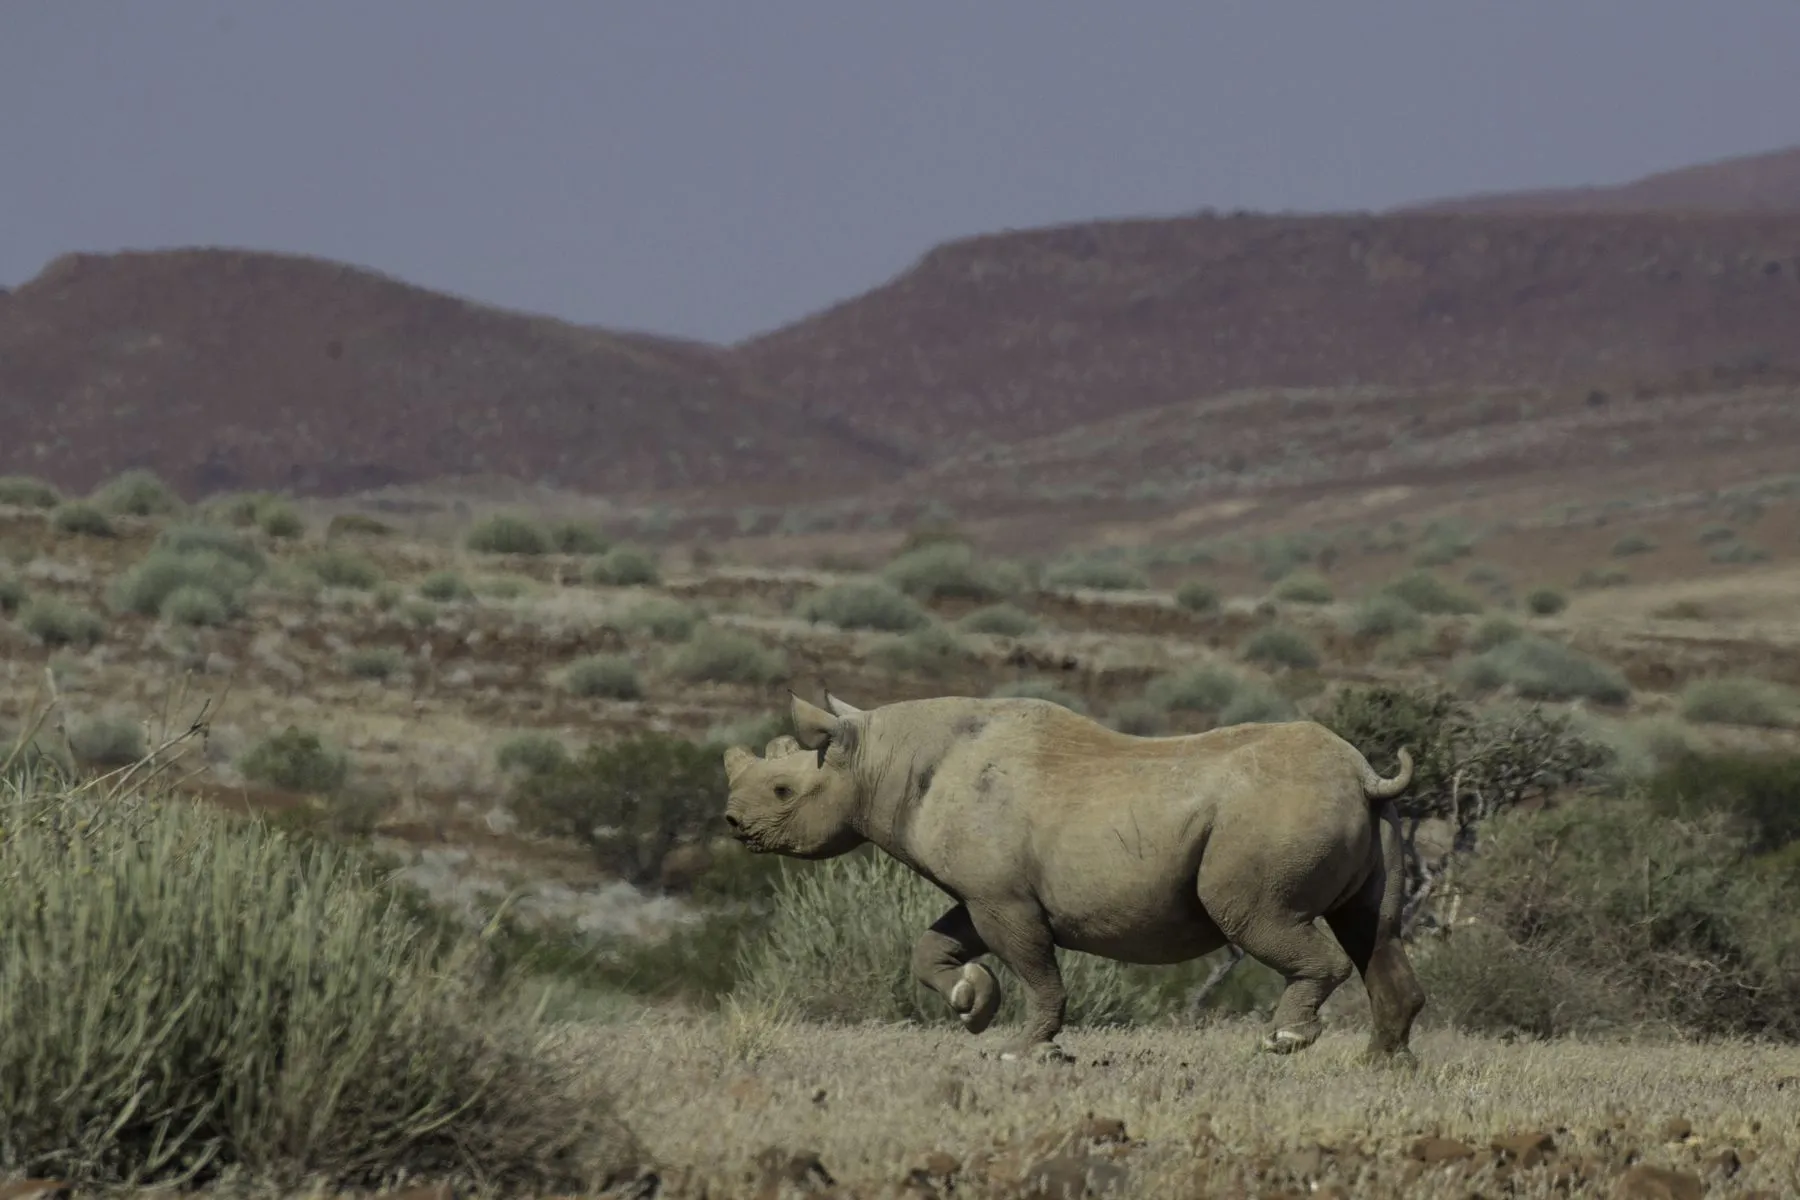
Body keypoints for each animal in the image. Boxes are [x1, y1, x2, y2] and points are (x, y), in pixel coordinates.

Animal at [722, 691, 1425, 1064]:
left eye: (782, 790)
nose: (731, 822)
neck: (878, 761)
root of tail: (1363, 773)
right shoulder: (984, 892)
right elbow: (934, 944)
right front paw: (971, 1004)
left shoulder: (1005, 900)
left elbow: (1039, 973)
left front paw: (1025, 1049)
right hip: (1375, 821)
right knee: (1375, 930)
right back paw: (1382, 1067)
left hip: (1269, 821)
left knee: (1264, 919)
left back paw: (1284, 1040)